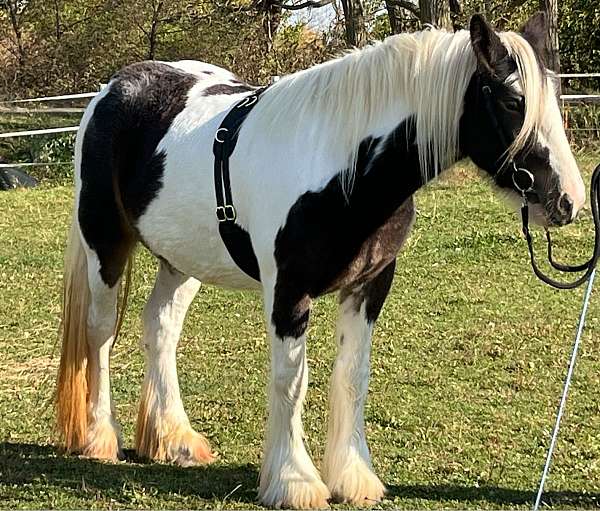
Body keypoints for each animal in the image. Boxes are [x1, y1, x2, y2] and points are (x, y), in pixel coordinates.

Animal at [55, 14, 580, 510]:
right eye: (512, 101)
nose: (568, 201)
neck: (343, 168)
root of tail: (112, 89)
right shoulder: (288, 291)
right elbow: (292, 380)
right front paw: (294, 482)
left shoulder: (370, 285)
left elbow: (352, 376)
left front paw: (353, 478)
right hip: (104, 243)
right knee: (100, 333)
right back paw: (100, 437)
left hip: (181, 258)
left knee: (160, 328)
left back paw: (174, 441)